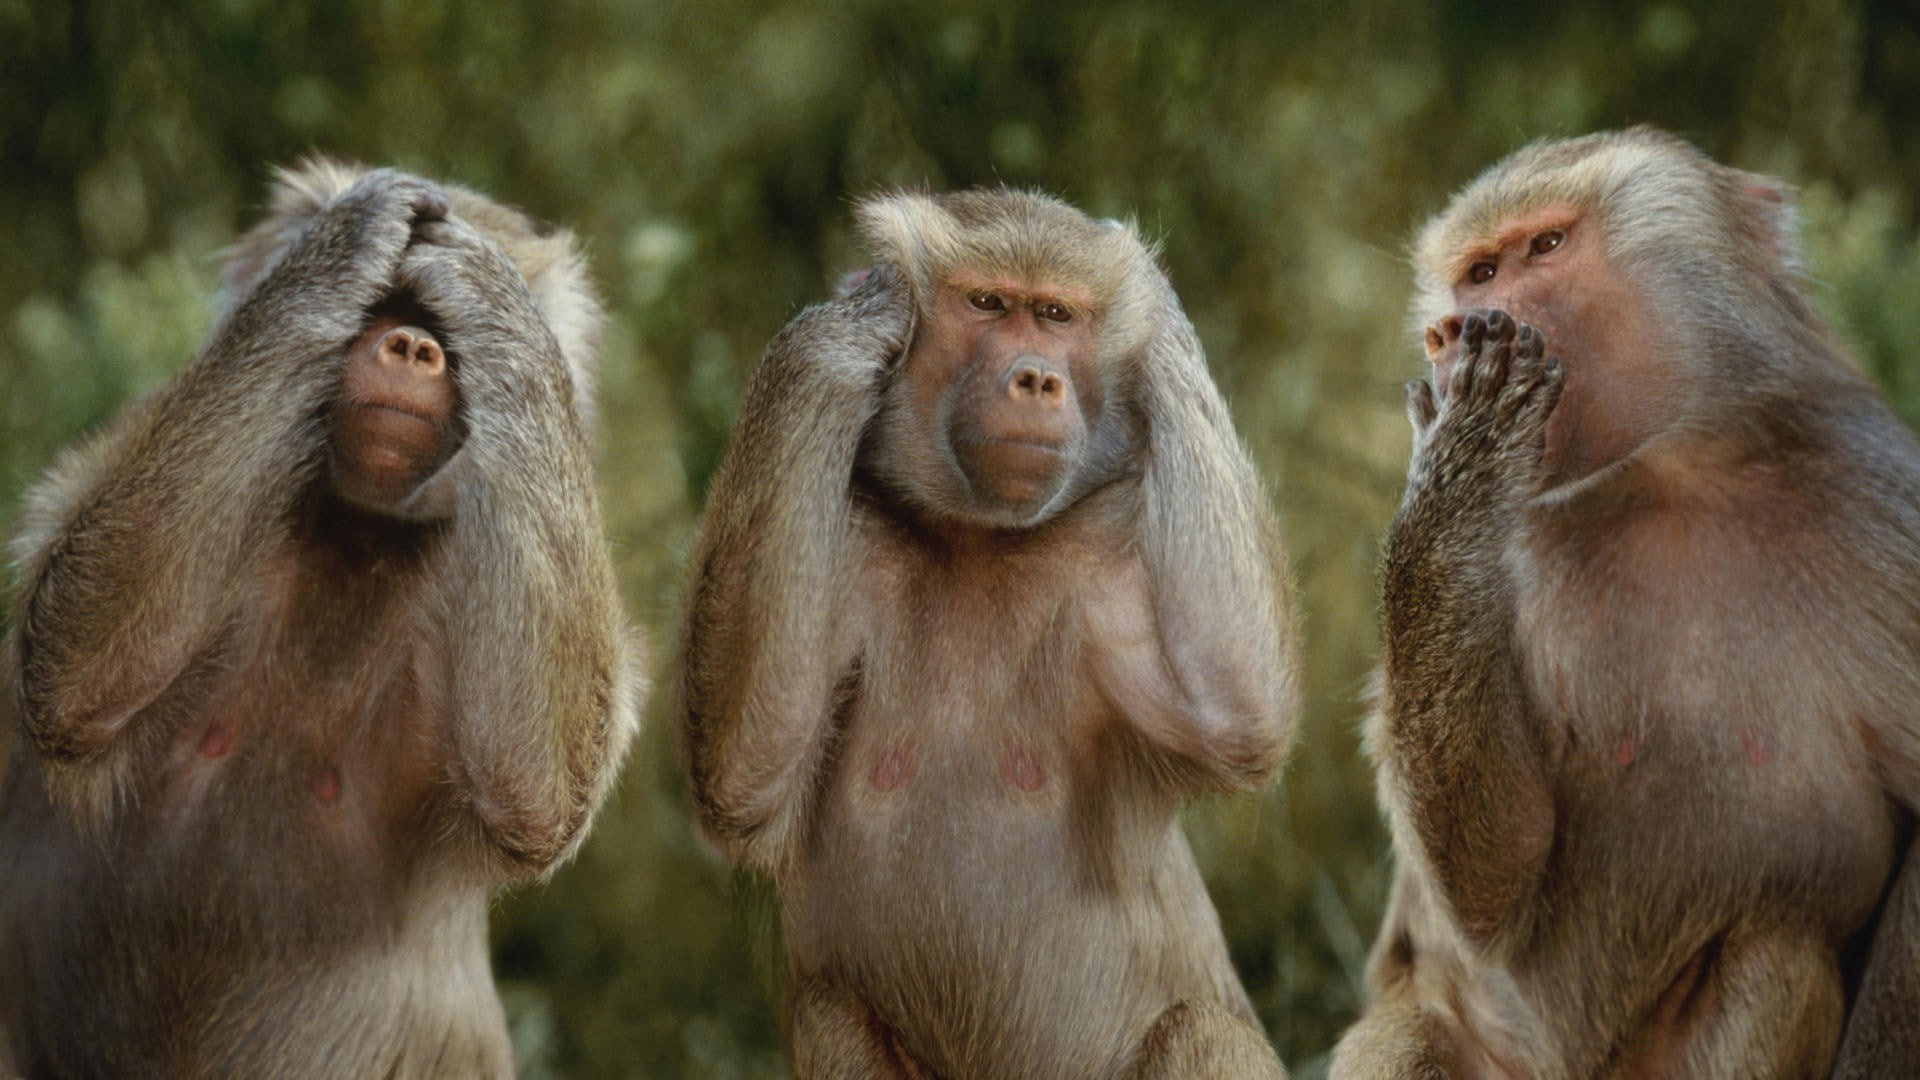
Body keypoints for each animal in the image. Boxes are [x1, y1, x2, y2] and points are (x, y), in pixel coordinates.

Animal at [0, 160, 642, 1078]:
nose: (412, 346)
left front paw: (488, 284)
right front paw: (350, 236)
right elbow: (73, 669)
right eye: (383, 306)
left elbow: (536, 791)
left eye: (442, 327)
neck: (354, 531)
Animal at [674, 188, 1299, 1079]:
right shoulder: (849, 540)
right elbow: (742, 777)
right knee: (830, 1012)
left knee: (1203, 1032)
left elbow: (1237, 715)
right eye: (989, 304)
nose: (1035, 377)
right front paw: (850, 323)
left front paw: (1162, 317)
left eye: (1057, 314)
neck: (977, 538)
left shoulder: (1108, 554)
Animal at [1330, 126, 1920, 1078]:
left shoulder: (1879, 497)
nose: (1447, 331)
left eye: (1544, 247)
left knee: (1776, 956)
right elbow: (1497, 882)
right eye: (1477, 272)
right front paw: (1460, 460)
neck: (1672, 474)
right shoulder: (1517, 546)